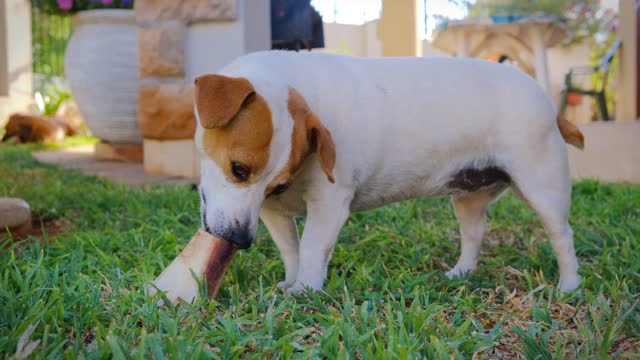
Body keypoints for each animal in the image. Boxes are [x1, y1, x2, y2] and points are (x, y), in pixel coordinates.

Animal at [192, 51, 584, 296]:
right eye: (240, 170)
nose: (239, 240)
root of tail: (544, 98)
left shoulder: (329, 204)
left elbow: (313, 247)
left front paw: (305, 289)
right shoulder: (273, 212)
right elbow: (291, 250)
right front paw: (291, 281)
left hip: (542, 186)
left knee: (562, 235)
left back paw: (569, 285)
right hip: (468, 197)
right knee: (474, 234)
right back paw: (461, 272)